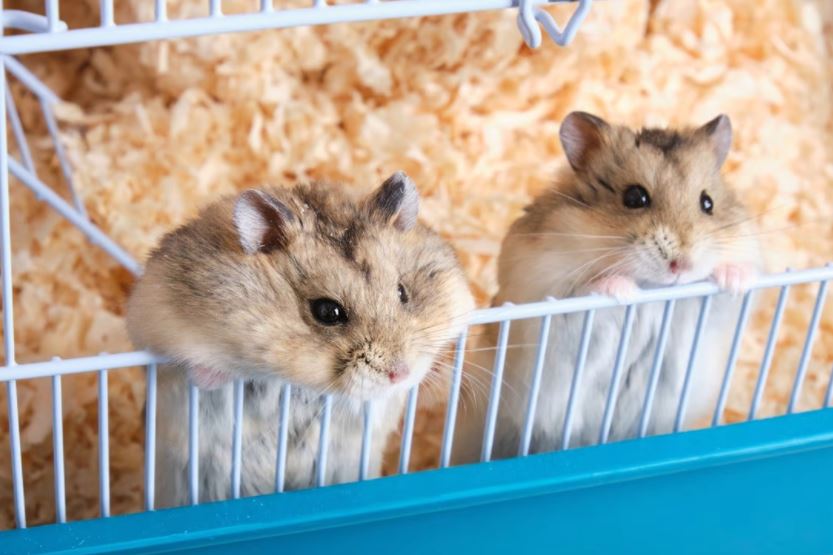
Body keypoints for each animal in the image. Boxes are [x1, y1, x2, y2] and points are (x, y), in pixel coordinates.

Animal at [452, 112, 761, 464]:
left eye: (707, 203)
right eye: (635, 198)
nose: (680, 266)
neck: (654, 289)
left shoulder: (711, 315)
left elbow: (727, 294)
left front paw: (736, 280)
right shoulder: (551, 301)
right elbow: (588, 290)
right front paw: (623, 291)